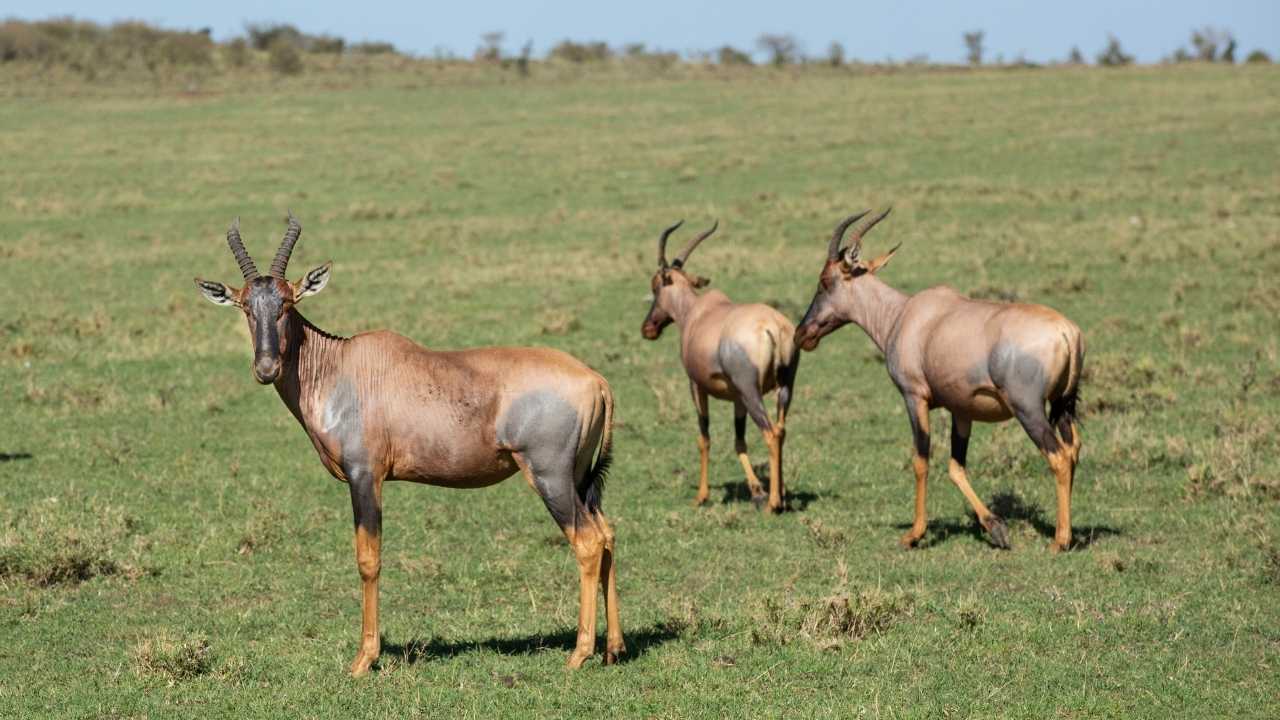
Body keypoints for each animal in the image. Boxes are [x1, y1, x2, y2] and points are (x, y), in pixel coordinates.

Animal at [194, 214, 623, 674]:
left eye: (288, 303)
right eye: (245, 306)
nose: (266, 368)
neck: (341, 367)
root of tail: (595, 380)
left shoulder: (365, 475)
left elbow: (369, 559)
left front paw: (363, 660)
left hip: (550, 476)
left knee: (587, 542)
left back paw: (579, 654)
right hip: (579, 479)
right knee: (607, 534)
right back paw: (614, 648)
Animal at [641, 220, 800, 513]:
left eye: (656, 285)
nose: (648, 328)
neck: (697, 312)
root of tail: (773, 327)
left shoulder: (697, 387)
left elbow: (704, 438)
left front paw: (701, 496)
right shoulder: (736, 398)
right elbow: (739, 441)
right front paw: (757, 491)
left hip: (752, 392)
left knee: (770, 432)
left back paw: (774, 504)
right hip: (785, 387)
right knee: (781, 430)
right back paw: (780, 494)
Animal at [794, 209, 1084, 552]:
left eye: (825, 281)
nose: (801, 334)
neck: (904, 314)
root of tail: (1067, 332)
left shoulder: (914, 397)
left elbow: (921, 460)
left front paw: (913, 535)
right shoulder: (961, 409)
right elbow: (955, 468)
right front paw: (996, 529)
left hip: (1029, 410)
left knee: (1059, 457)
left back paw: (1059, 541)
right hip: (1061, 405)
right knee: (1074, 449)